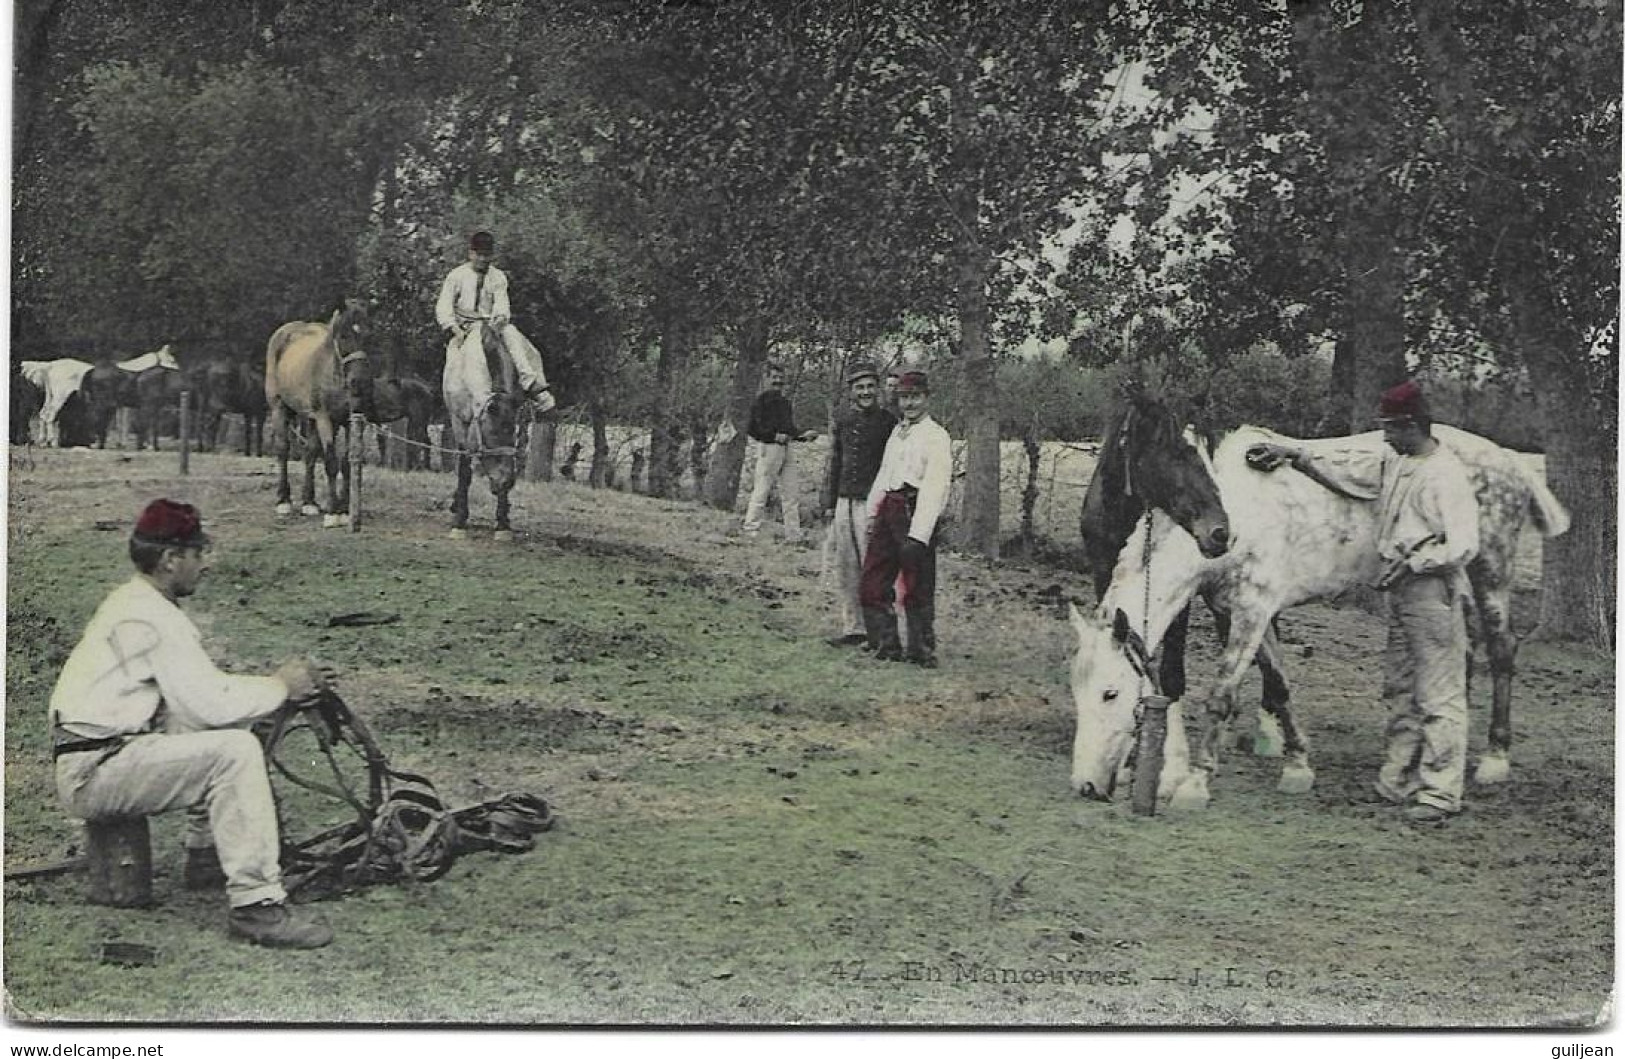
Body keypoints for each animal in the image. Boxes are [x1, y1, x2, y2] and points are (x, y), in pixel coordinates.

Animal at [263, 302, 372, 526]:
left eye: (369, 335)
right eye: (343, 336)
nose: (360, 381)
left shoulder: (350, 421)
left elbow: (346, 464)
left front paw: (345, 510)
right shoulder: (325, 419)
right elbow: (331, 462)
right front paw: (332, 513)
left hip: (310, 418)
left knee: (310, 453)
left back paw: (309, 502)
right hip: (279, 408)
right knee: (283, 449)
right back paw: (284, 501)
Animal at [442, 319, 523, 539]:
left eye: (514, 433)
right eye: (491, 433)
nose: (506, 482)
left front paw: (503, 524)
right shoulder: (460, 423)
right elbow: (464, 470)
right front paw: (459, 522)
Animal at [1072, 422, 1566, 812]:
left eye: (1111, 693)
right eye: (1076, 692)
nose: (1086, 785)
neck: (1237, 519)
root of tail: (1509, 460)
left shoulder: (1253, 611)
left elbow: (1221, 697)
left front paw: (1195, 784)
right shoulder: (1245, 612)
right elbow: (1279, 684)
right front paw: (1297, 766)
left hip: (1490, 571)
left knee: (1501, 650)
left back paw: (1494, 760)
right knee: (1457, 658)